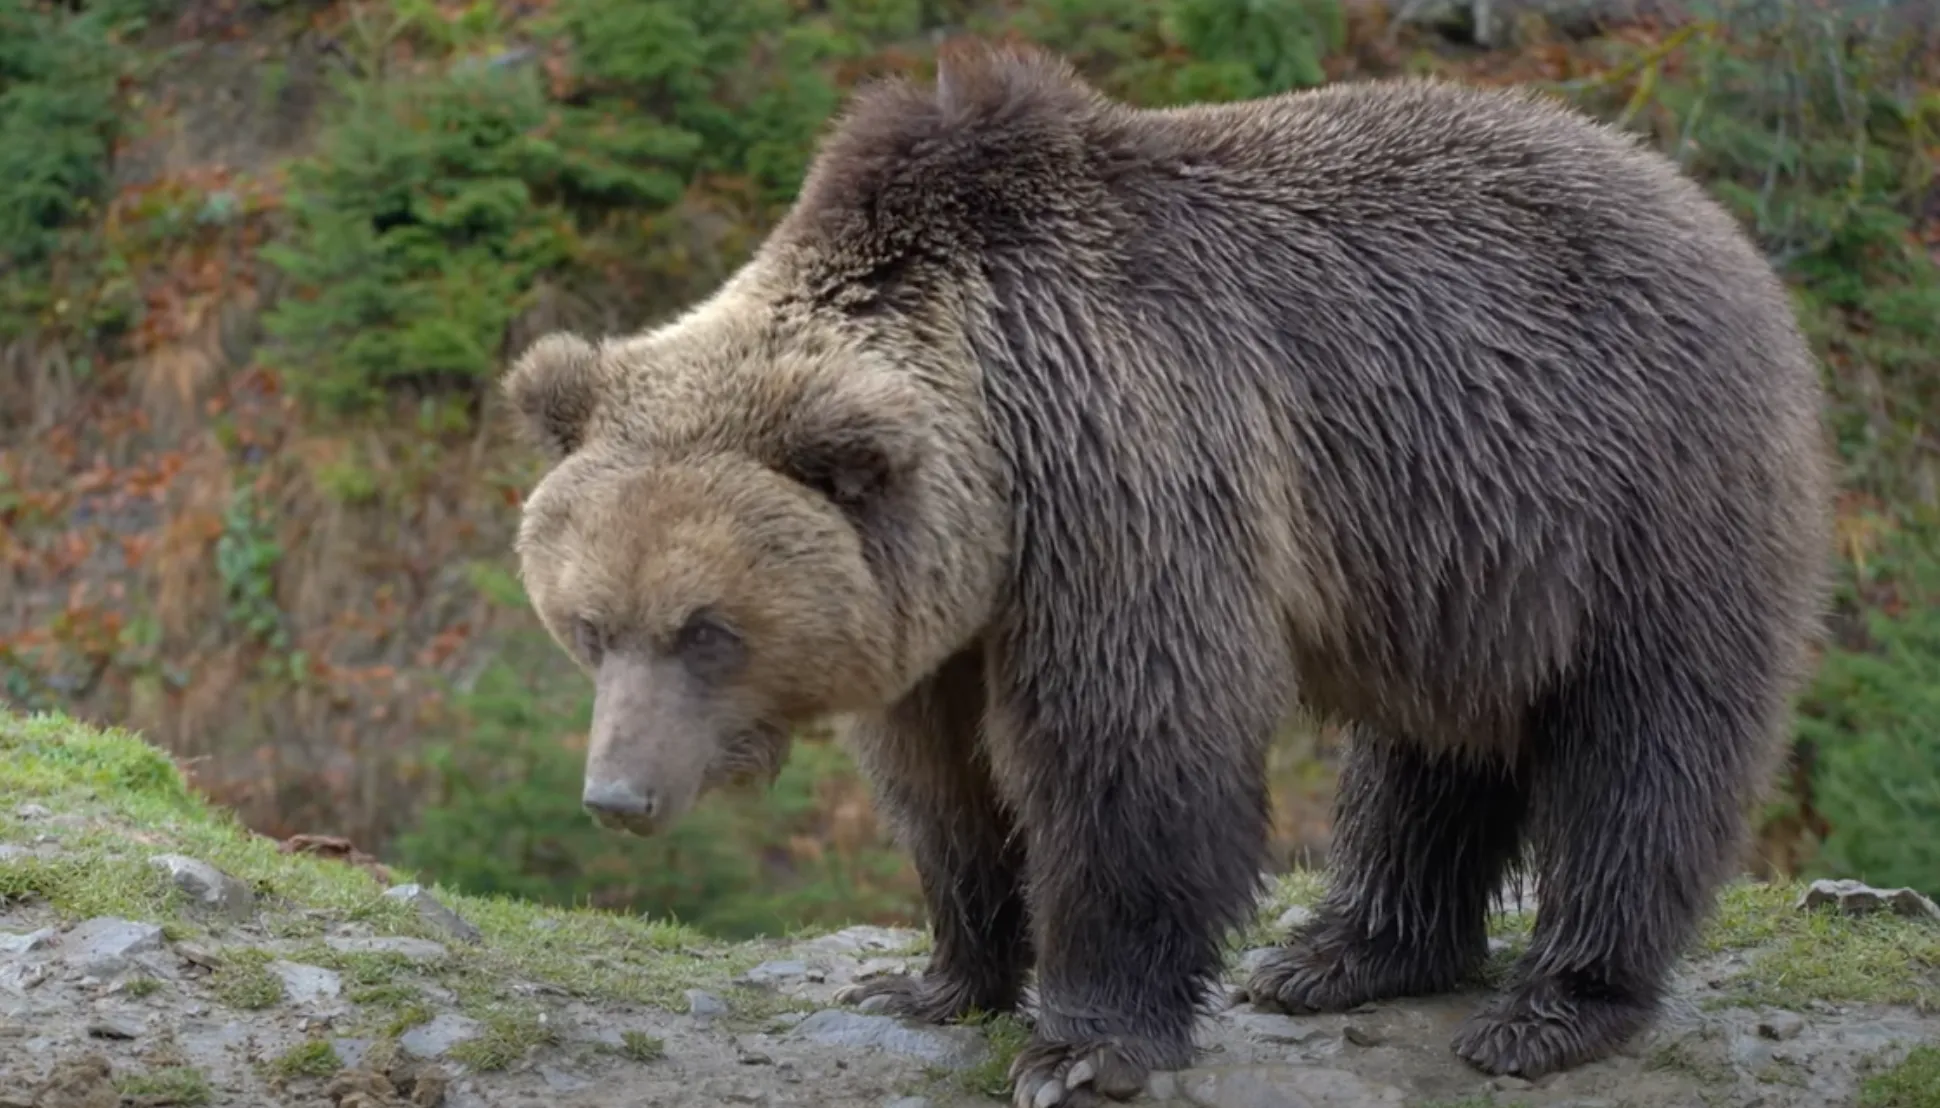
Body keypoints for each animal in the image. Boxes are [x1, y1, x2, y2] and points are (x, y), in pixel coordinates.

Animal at [500, 39, 1831, 1108]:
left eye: (705, 628)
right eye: (589, 625)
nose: (617, 796)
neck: (1000, 439)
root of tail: (1699, 206)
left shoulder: (1126, 469)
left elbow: (1127, 748)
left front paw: (1081, 1046)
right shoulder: (945, 597)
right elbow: (939, 780)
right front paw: (930, 979)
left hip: (1638, 492)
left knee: (1641, 748)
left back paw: (1550, 1006)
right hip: (1460, 554)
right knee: (1429, 748)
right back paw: (1343, 952)